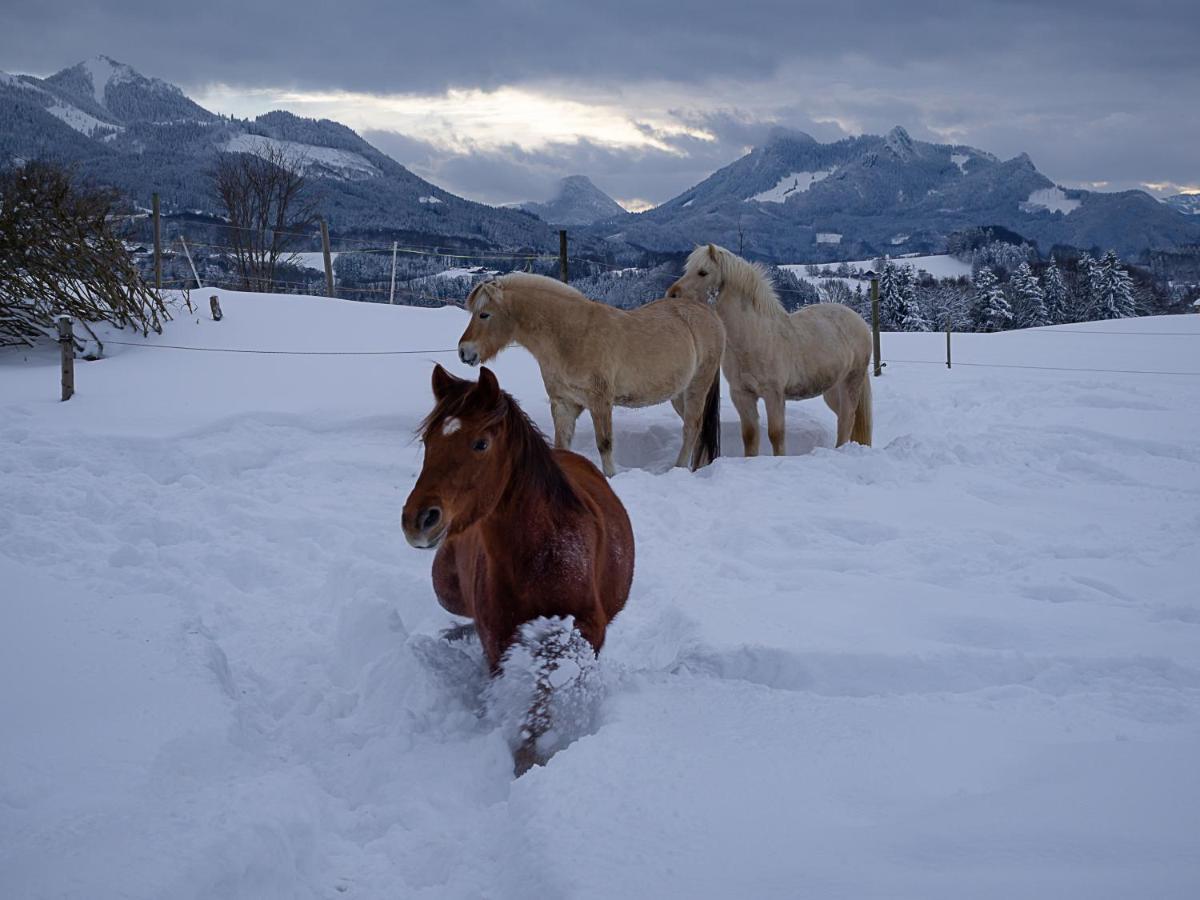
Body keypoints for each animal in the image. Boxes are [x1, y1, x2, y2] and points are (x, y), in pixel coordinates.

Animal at [400, 367, 633, 777]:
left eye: (480, 444)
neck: (540, 556)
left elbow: (550, 680)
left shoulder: (587, 628)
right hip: (445, 589)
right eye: (428, 440)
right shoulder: (498, 641)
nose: (419, 520)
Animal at [456, 273, 720, 480]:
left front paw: (610, 477)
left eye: (484, 314)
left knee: (692, 427)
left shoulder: (600, 402)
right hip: (678, 395)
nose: (464, 351)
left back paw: (679, 468)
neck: (571, 336)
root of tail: (708, 313)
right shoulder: (564, 404)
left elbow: (604, 444)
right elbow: (562, 445)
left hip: (697, 387)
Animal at [667, 244, 873, 458]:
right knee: (843, 417)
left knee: (847, 418)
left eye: (703, 272)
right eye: (687, 270)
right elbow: (749, 435)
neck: (754, 337)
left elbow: (776, 434)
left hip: (852, 380)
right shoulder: (742, 395)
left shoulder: (774, 394)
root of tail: (857, 320)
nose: (672, 294)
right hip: (832, 389)